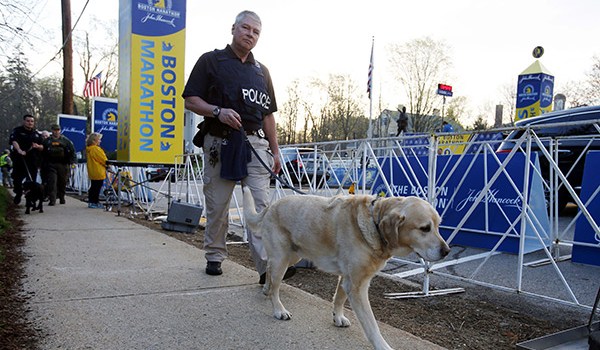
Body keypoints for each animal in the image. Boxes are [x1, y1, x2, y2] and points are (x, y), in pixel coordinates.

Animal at [241, 187, 448, 350]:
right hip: (282, 259)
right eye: (425, 228)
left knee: (268, 268)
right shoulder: (357, 286)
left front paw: (338, 317)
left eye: (438, 225)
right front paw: (382, 345)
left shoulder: (347, 279)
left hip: (293, 255)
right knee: (276, 286)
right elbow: (371, 324)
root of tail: (270, 207)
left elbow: (339, 299)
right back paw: (278, 308)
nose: (446, 251)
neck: (374, 222)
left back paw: (266, 288)